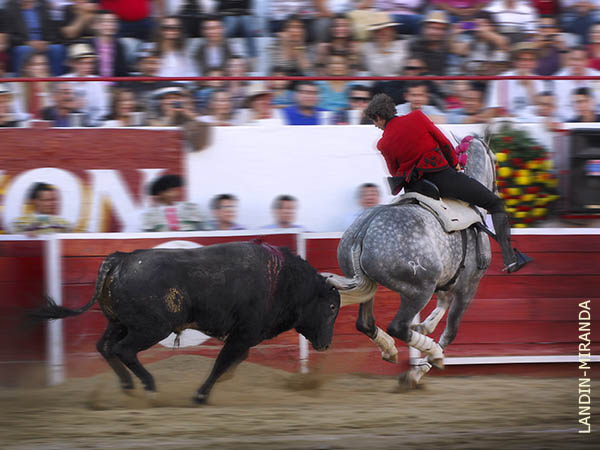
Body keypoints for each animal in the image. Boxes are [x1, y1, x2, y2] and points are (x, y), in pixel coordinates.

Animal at [31, 241, 342, 402]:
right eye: (330, 308)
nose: (326, 345)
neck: (283, 279)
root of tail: (121, 259)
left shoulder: (245, 335)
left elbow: (235, 359)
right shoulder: (244, 332)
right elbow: (223, 361)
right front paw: (201, 395)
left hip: (119, 322)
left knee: (105, 347)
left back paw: (128, 386)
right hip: (151, 328)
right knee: (123, 349)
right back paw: (148, 387)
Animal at [326, 136, 494, 386]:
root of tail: (365, 229)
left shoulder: (446, 279)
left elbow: (441, 304)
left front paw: (425, 326)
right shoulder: (468, 286)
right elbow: (451, 330)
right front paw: (422, 367)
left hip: (369, 285)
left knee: (365, 323)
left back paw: (390, 350)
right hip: (418, 290)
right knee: (399, 326)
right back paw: (431, 355)